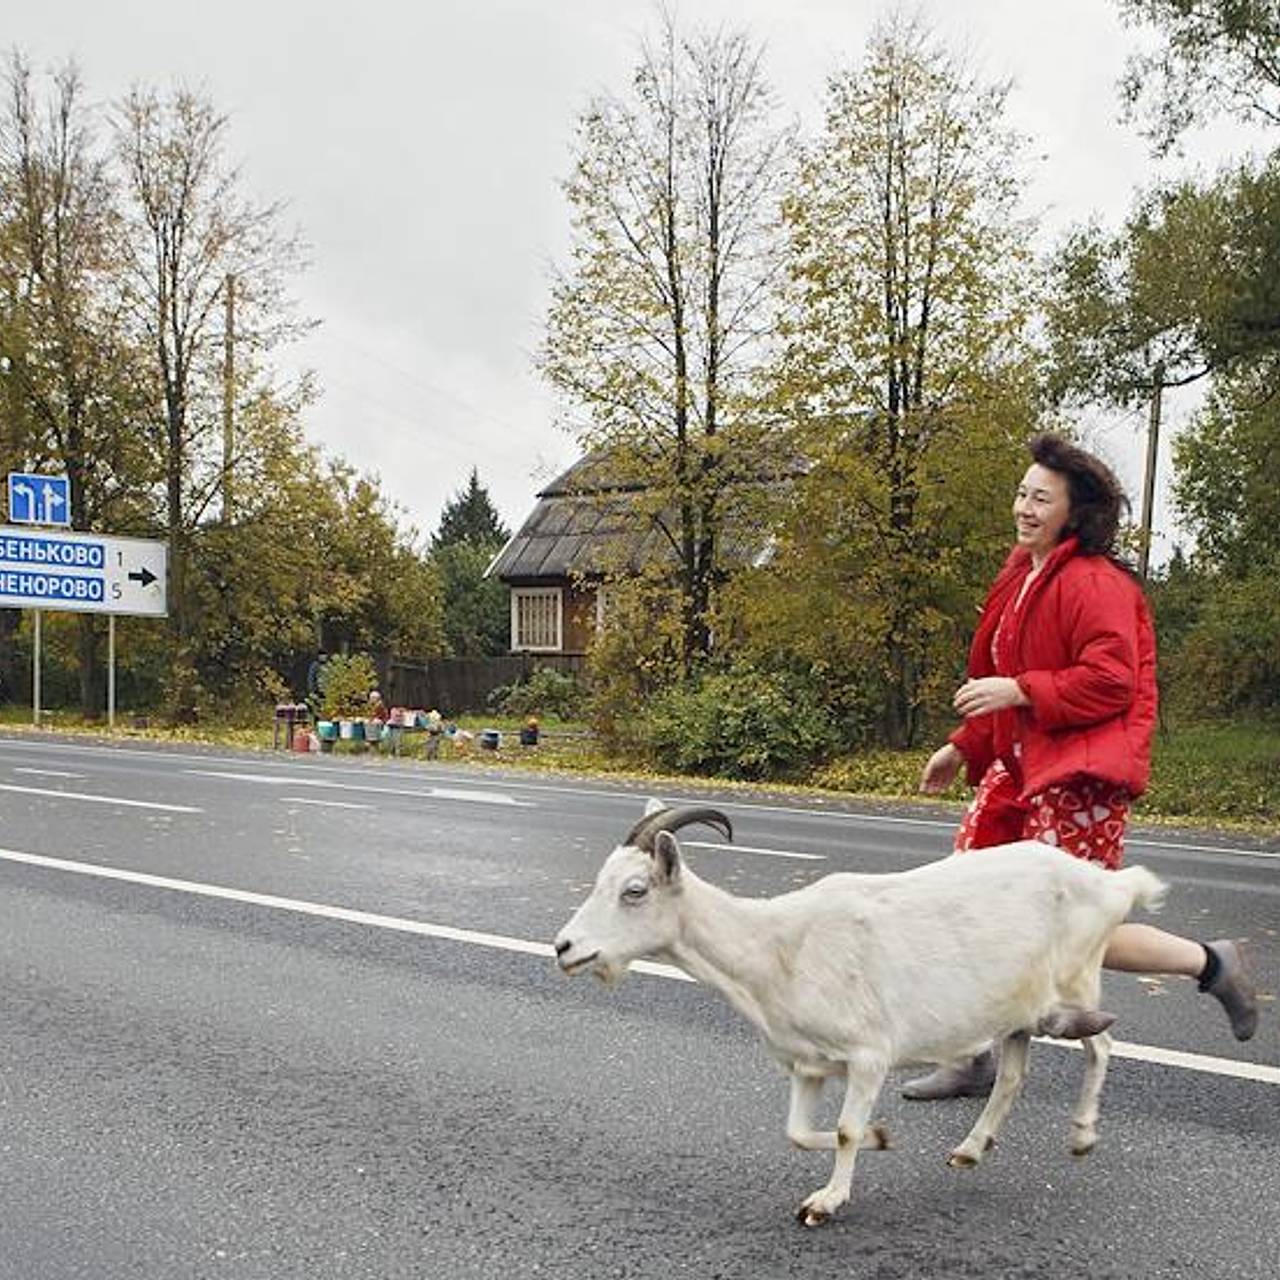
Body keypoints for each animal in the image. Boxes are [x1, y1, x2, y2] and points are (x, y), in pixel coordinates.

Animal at [555, 803, 1167, 1223]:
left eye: (635, 890)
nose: (564, 947)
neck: (774, 946)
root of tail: (1112, 883)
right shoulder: (808, 1064)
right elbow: (798, 1132)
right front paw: (882, 1138)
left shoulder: (868, 1054)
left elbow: (844, 1130)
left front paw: (826, 1200)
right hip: (1015, 1007)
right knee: (1013, 1075)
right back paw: (969, 1151)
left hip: (1078, 977)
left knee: (1101, 1044)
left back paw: (1082, 1135)